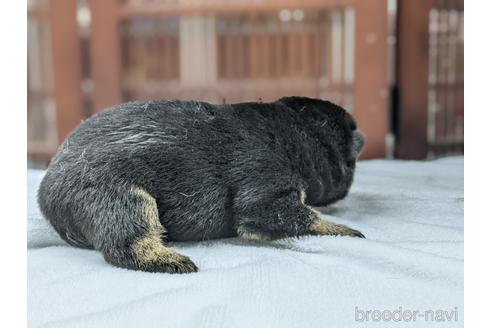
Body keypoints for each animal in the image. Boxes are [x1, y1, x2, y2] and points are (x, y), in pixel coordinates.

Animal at [38, 96, 366, 272]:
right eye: (349, 161)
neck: (298, 135)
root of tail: (45, 193)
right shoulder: (267, 187)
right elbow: (296, 216)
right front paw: (345, 229)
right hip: (119, 195)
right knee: (126, 240)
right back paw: (168, 259)